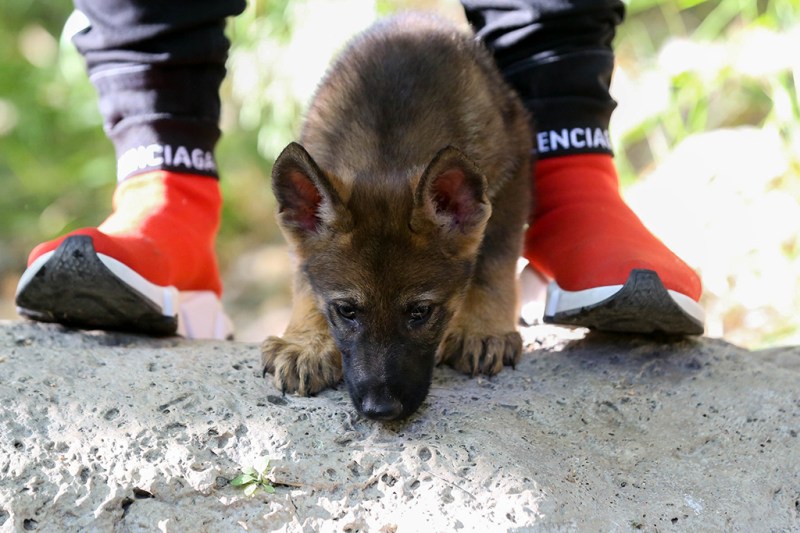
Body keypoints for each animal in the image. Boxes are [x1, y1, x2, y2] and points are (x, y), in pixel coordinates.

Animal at [261, 13, 532, 420]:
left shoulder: (513, 175)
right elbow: (306, 283)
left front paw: (482, 329)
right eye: (346, 310)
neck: (386, 153)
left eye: (420, 311)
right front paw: (306, 342)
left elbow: (493, 264)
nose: (381, 410)